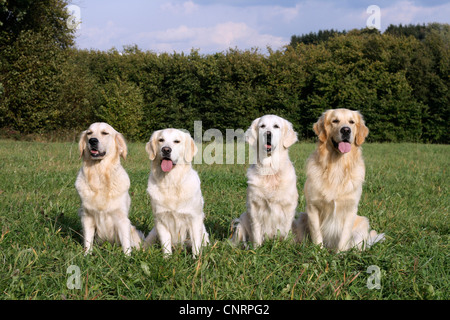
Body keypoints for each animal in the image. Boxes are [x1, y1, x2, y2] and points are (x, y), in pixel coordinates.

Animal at [74, 122, 143, 255]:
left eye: (105, 133)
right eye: (89, 133)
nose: (92, 140)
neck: (100, 176)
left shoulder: (122, 219)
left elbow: (126, 245)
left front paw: (128, 258)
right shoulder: (87, 217)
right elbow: (88, 241)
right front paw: (86, 255)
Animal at [232, 115, 298, 248]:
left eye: (276, 126)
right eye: (262, 126)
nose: (268, 134)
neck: (270, 171)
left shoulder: (288, 207)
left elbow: (285, 229)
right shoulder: (255, 206)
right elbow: (256, 231)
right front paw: (256, 248)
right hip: (241, 223)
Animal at [294, 109, 384, 251]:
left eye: (351, 122)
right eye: (335, 121)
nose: (346, 130)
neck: (337, 166)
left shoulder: (350, 209)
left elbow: (344, 236)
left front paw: (340, 254)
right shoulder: (313, 207)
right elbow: (317, 234)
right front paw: (318, 252)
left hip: (362, 223)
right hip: (302, 218)